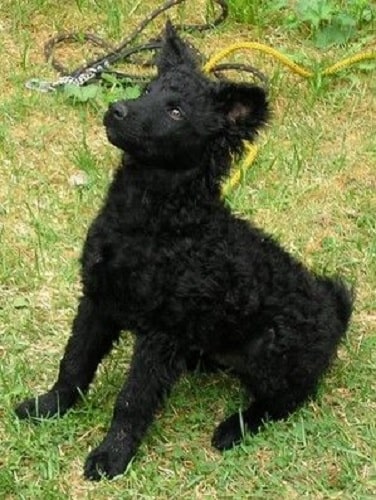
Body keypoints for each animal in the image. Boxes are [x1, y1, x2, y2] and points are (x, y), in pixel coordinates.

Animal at [16, 21, 354, 478]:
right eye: (147, 91)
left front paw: (112, 456)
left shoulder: (162, 332)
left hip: (271, 348)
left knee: (288, 399)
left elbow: (132, 399)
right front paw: (49, 407)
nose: (117, 111)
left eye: (176, 112)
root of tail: (335, 313)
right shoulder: (97, 299)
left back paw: (234, 427)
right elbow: (74, 362)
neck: (150, 221)